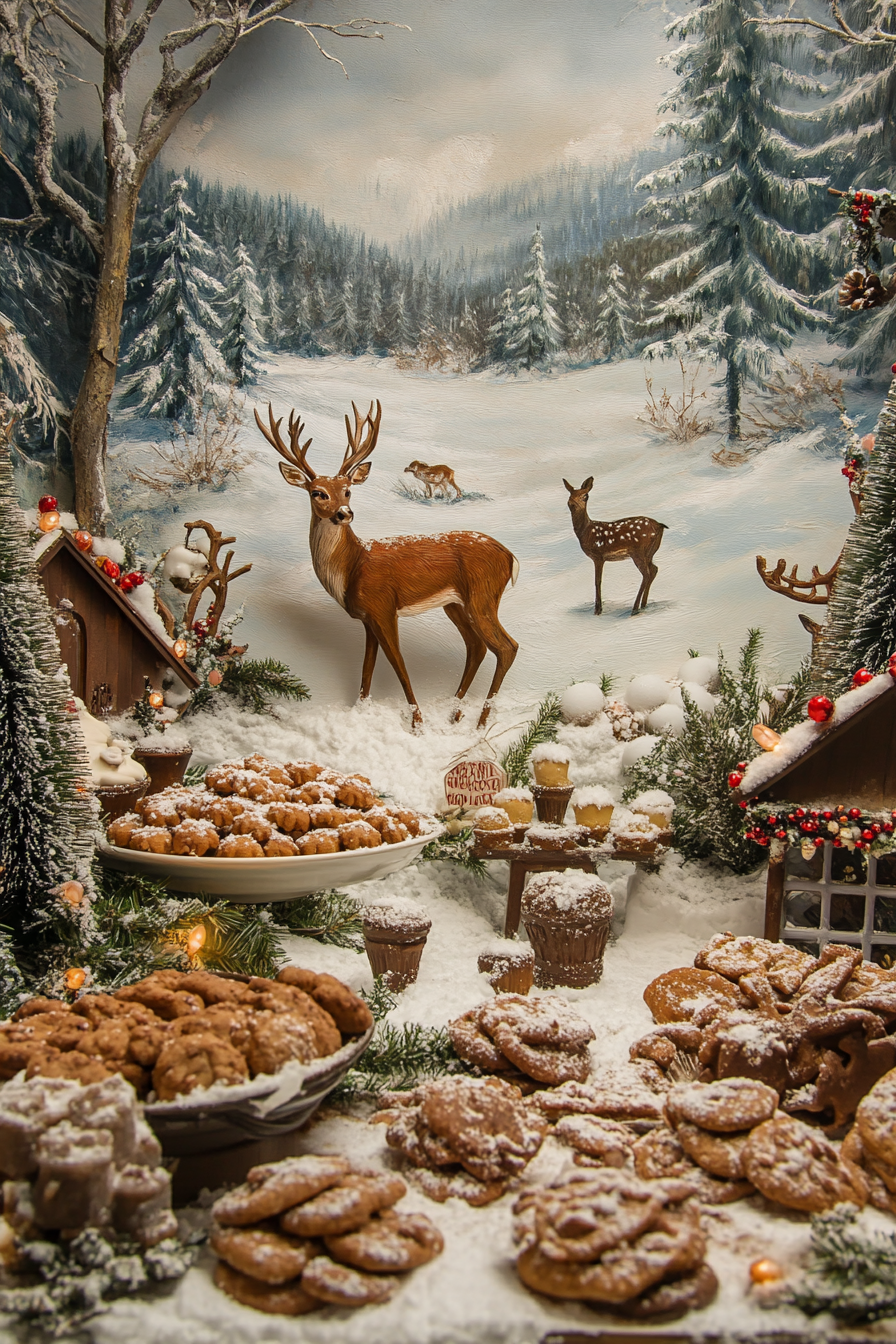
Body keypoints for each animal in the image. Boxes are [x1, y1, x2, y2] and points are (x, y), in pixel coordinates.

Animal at [253, 403, 518, 731]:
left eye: (348, 490)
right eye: (317, 492)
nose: (344, 514)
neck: (353, 565)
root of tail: (510, 556)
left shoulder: (383, 607)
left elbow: (398, 662)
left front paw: (417, 722)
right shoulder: (368, 619)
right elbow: (367, 668)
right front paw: (360, 711)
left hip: (483, 595)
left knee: (506, 647)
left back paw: (480, 723)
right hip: (455, 603)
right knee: (477, 647)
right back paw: (454, 714)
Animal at [566, 478, 666, 615]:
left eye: (585, 496)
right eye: (570, 495)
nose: (571, 504)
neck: (586, 532)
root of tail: (660, 525)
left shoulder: (598, 556)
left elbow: (597, 581)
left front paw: (597, 610)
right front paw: (598, 609)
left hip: (638, 552)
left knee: (646, 573)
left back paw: (635, 608)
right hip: (649, 552)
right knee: (654, 569)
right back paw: (643, 605)